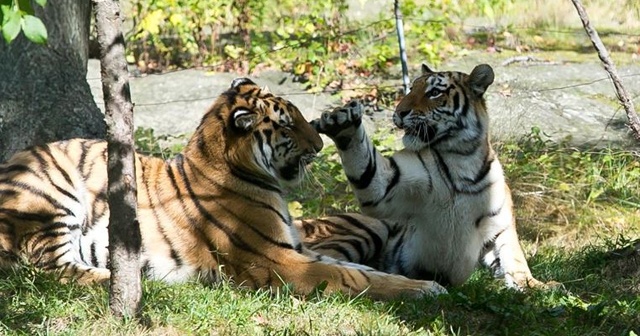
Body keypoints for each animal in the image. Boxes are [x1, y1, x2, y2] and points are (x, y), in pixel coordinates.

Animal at [0, 78, 444, 300]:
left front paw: (421, 285)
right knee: (52, 270)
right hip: (53, 195)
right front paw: (428, 290)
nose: (319, 147)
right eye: (287, 125)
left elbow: (362, 269)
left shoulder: (298, 247)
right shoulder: (277, 261)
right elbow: (350, 276)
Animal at [300, 63, 552, 288]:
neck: (462, 159)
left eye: (434, 92)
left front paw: (537, 285)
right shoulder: (386, 187)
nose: (399, 112)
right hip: (368, 228)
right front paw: (343, 123)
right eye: (411, 89)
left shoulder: (501, 226)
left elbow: (515, 259)